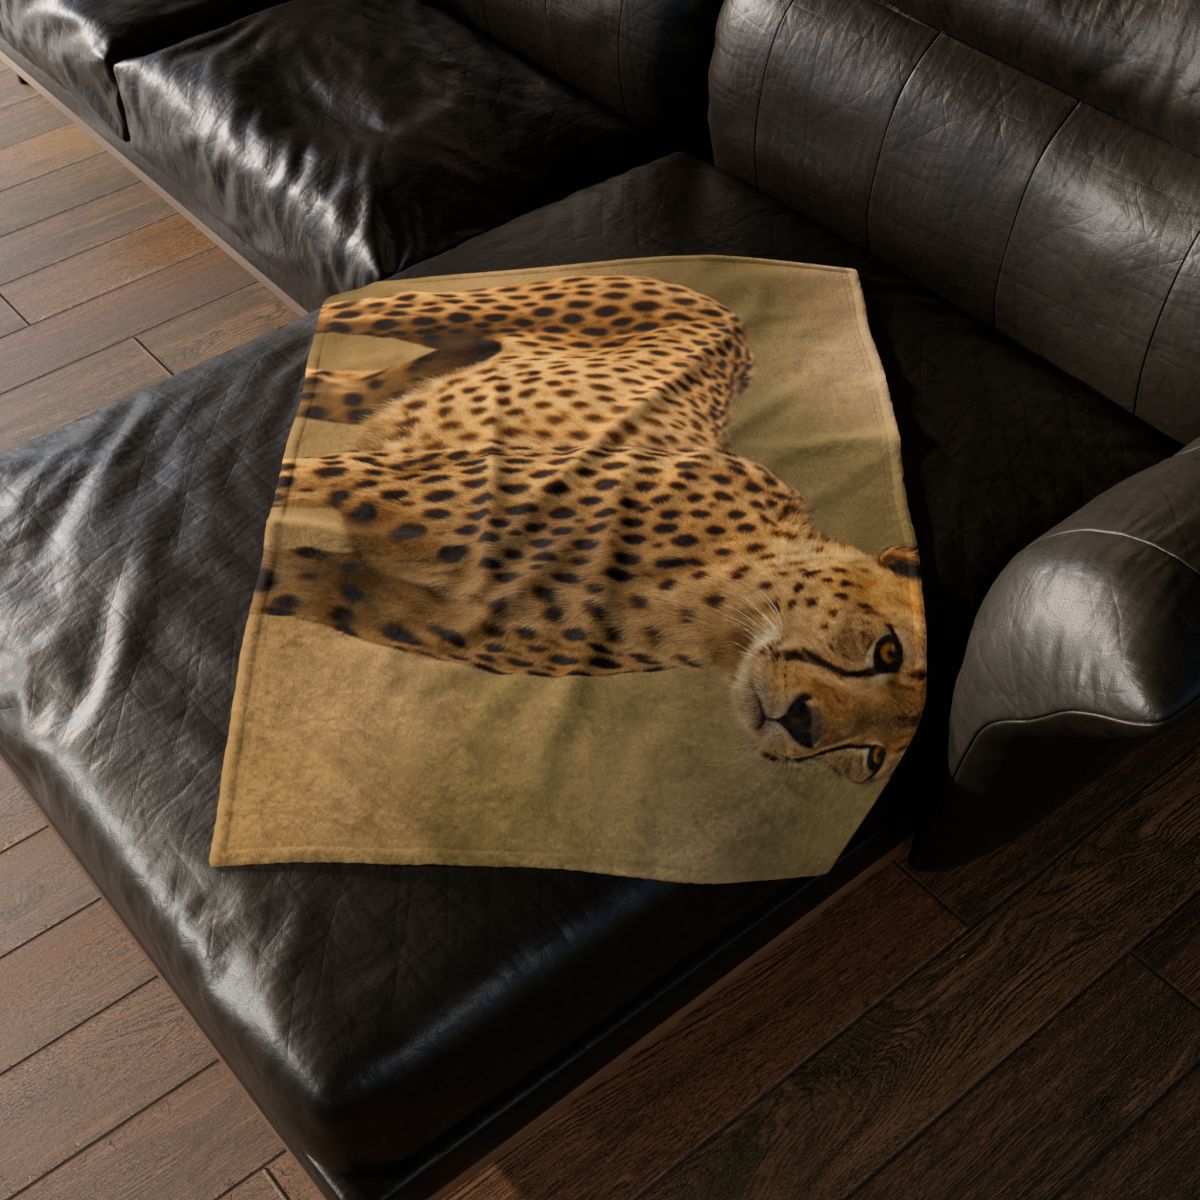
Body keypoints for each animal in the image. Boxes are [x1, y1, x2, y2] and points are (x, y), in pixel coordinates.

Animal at [257, 274, 926, 783]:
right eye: (887, 649)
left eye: (873, 757)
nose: (805, 725)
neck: (717, 609)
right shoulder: (390, 479)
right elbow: (284, 484)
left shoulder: (360, 593)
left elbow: (277, 580)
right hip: (477, 310)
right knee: (355, 308)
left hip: (410, 380)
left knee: (327, 386)